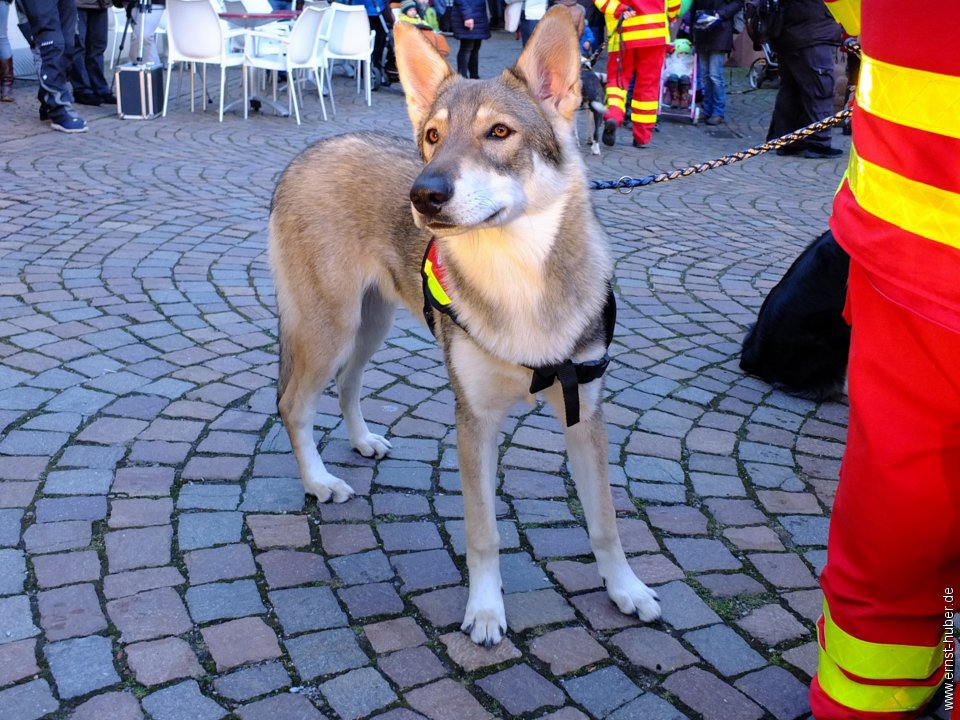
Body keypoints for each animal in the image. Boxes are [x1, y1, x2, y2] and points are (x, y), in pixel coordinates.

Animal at [268, 7, 661, 647]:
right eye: (432, 136)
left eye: (499, 133)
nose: (424, 194)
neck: (518, 280)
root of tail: (305, 154)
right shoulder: (474, 421)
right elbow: (484, 534)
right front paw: (485, 611)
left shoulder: (585, 415)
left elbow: (605, 521)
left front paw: (625, 590)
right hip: (330, 331)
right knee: (293, 406)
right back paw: (319, 482)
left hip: (369, 327)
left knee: (348, 386)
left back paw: (361, 441)